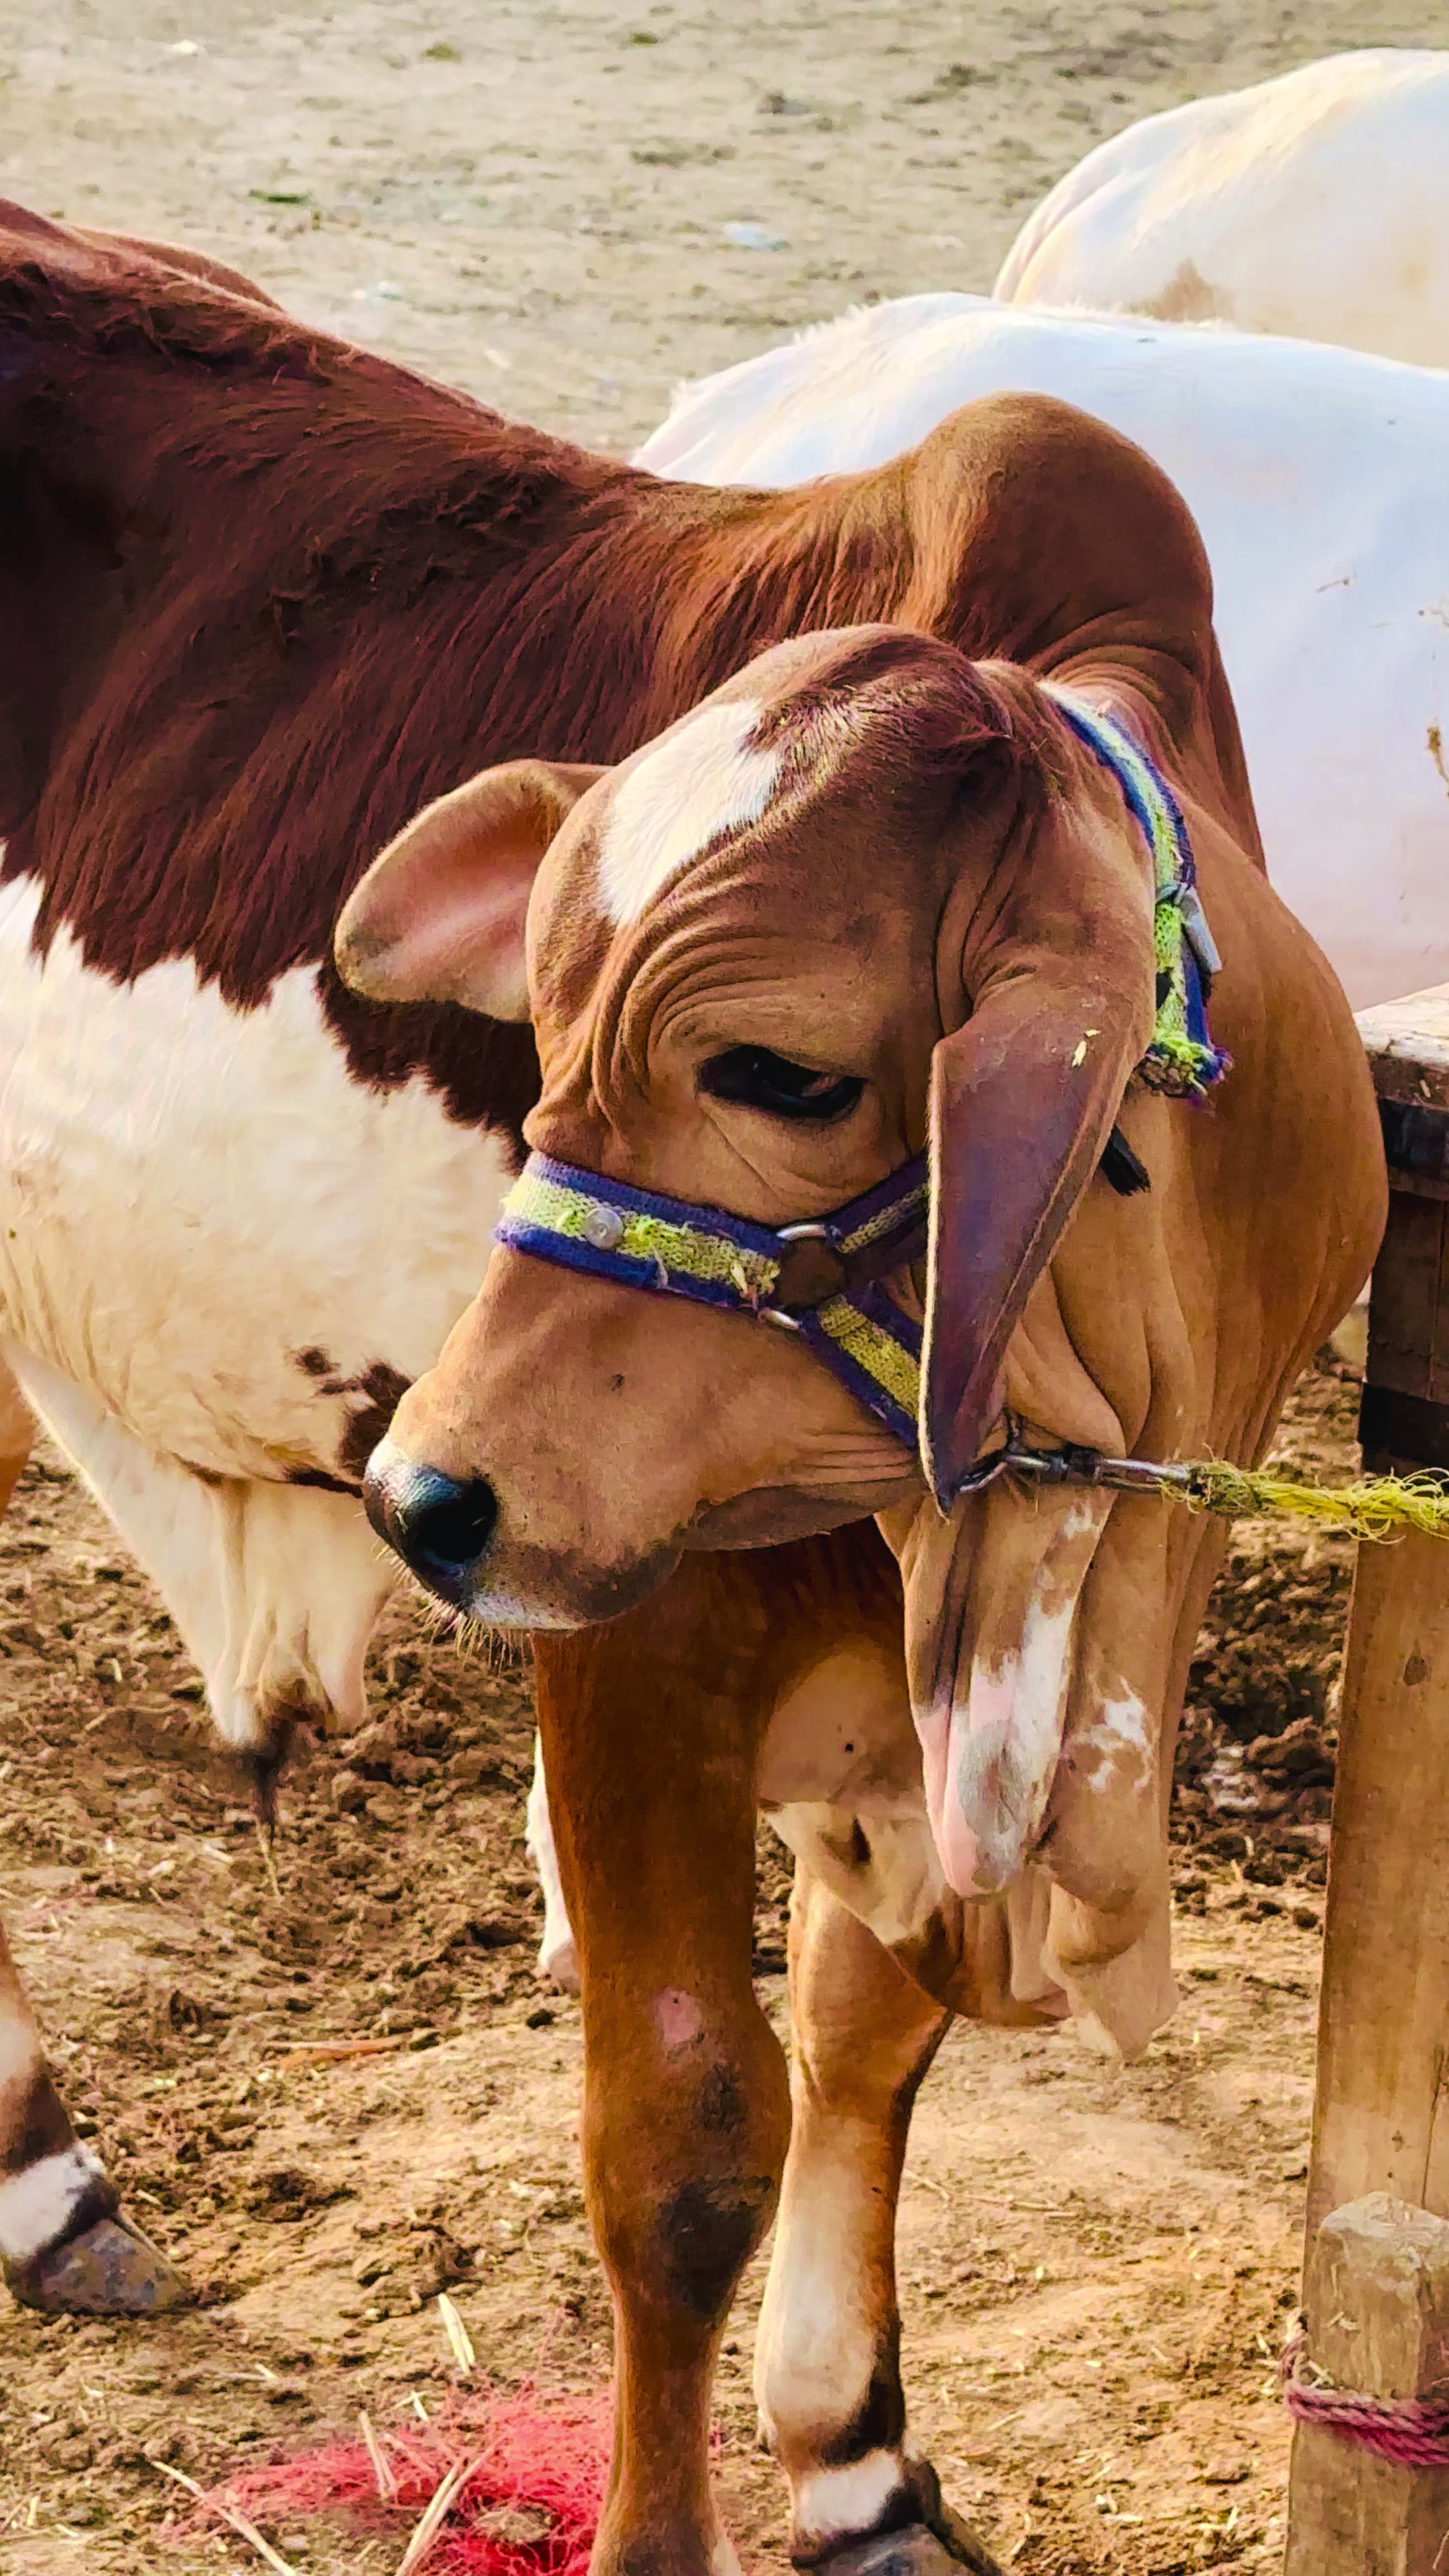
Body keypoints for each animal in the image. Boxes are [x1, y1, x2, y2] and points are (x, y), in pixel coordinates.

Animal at [343, 494, 1385, 2569]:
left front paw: (845, 2441)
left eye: (783, 1074)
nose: (424, 1496)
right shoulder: (637, 1652)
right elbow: (683, 2140)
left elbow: (857, 2039)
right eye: (541, 1045)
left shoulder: (933, 1768)